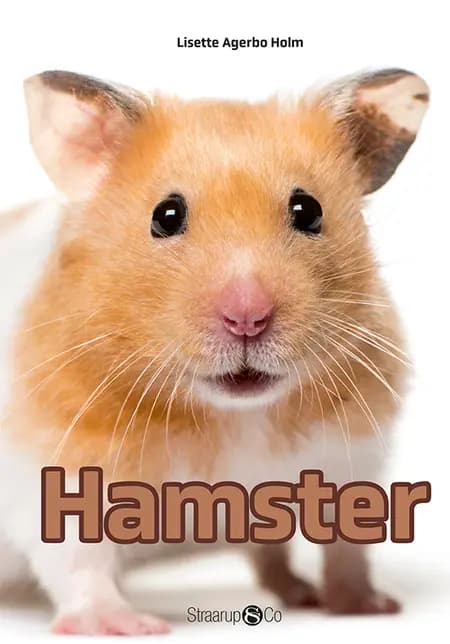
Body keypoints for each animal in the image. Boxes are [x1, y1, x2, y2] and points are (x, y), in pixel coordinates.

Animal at [0, 68, 428, 634]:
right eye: (166, 216)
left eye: (307, 210)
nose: (248, 317)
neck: (234, 415)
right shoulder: (54, 465)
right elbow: (77, 558)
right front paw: (127, 625)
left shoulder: (351, 454)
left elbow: (345, 545)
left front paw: (366, 606)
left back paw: (301, 593)